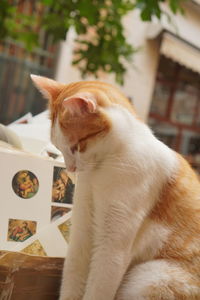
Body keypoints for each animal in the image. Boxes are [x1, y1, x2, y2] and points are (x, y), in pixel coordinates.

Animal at [31, 74, 200, 298]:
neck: (102, 169)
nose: (70, 168)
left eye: (77, 146)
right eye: (59, 147)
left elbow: (97, 290)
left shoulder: (111, 248)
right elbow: (73, 278)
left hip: (146, 278)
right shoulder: (81, 234)